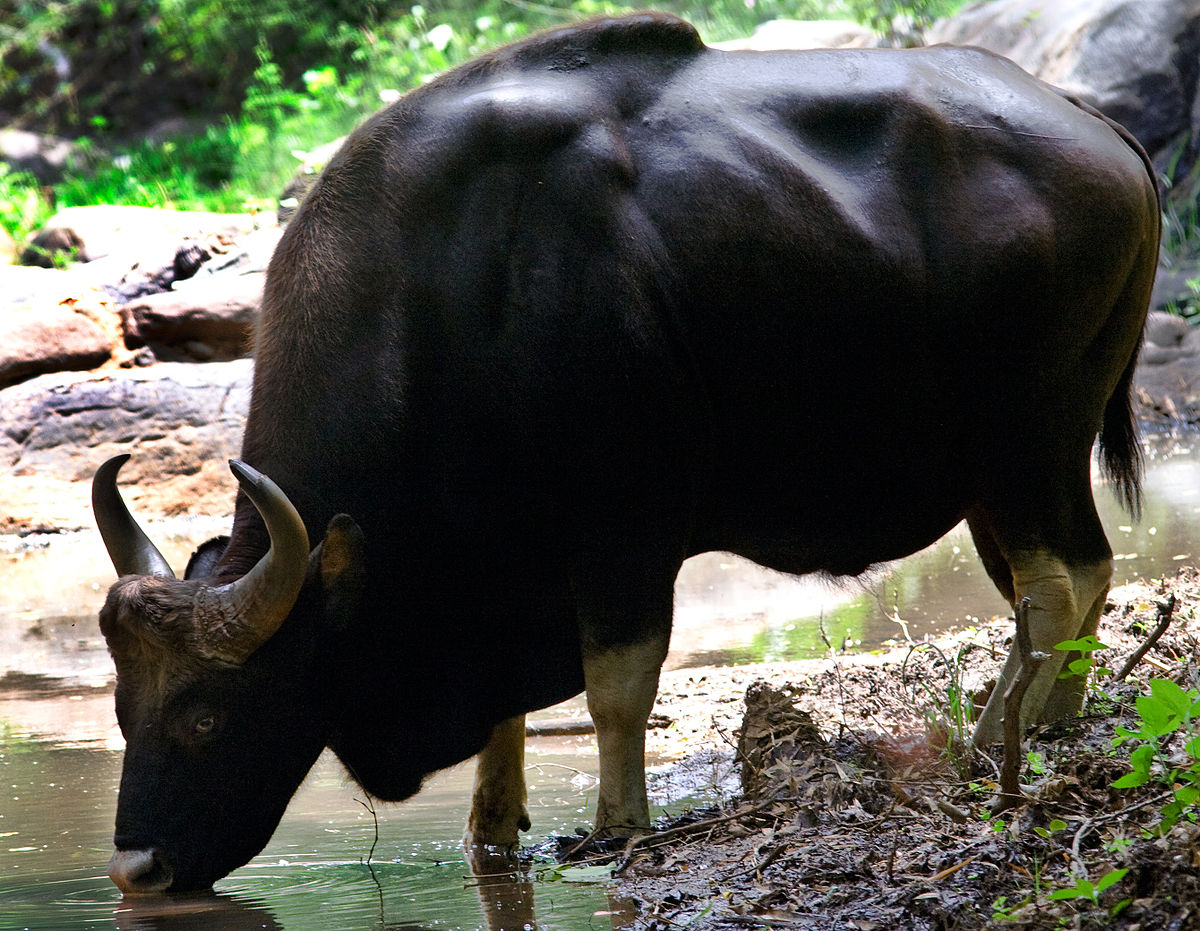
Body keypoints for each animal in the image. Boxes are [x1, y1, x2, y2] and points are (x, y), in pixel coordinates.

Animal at [93, 12, 1161, 892]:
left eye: (207, 713)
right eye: (123, 707)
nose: (137, 869)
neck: (447, 293)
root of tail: (1092, 125)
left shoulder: (625, 525)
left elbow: (617, 684)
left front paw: (617, 824)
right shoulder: (506, 569)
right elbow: (506, 714)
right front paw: (492, 831)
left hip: (1028, 441)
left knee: (1055, 581)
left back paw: (995, 739)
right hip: (1008, 468)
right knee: (1084, 569)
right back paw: (1056, 718)